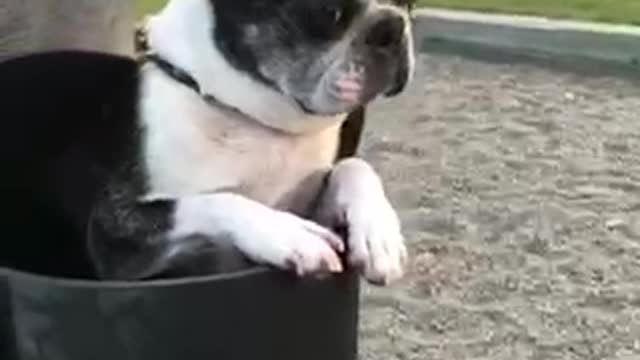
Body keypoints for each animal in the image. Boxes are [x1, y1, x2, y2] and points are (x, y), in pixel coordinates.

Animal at [0, 0, 416, 286]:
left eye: (407, 3)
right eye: (329, 12)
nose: (393, 25)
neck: (253, 119)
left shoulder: (308, 200)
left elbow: (354, 166)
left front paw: (378, 234)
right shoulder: (116, 235)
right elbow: (215, 199)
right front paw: (286, 235)